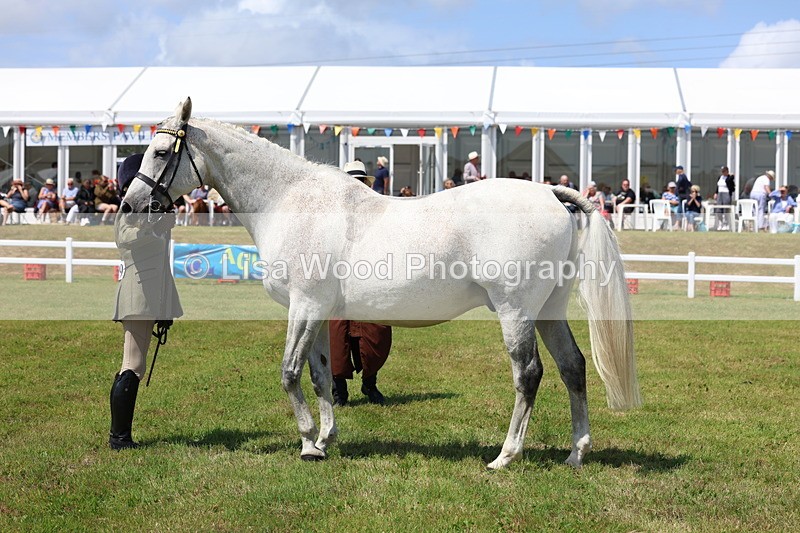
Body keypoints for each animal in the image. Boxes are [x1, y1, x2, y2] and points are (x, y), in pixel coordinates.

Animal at [121, 97, 642, 469]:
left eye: (162, 151)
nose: (130, 203)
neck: (291, 201)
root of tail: (551, 194)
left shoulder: (303, 307)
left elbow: (289, 372)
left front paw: (307, 443)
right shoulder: (319, 312)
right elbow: (320, 374)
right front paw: (326, 438)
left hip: (516, 311)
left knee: (529, 374)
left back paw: (505, 457)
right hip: (548, 309)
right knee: (573, 368)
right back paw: (576, 453)